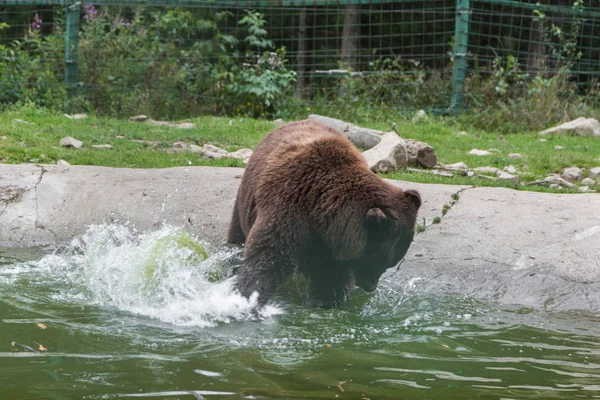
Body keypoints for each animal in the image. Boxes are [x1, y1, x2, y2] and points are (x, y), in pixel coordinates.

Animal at [227, 119, 420, 306]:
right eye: (380, 261)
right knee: (237, 235)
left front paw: (325, 299)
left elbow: (331, 278)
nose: (370, 286)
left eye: (390, 262)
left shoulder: (331, 244)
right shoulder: (288, 204)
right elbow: (268, 255)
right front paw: (248, 295)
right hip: (246, 198)